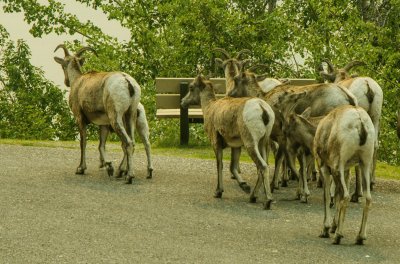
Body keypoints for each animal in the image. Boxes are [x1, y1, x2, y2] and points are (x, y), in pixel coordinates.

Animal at [54, 43, 145, 184]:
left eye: (63, 65)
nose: (66, 82)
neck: (78, 81)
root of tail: (128, 83)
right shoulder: (104, 124)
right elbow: (101, 145)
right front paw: (108, 167)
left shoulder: (79, 118)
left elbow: (83, 143)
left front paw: (80, 169)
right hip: (130, 115)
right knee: (132, 142)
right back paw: (120, 172)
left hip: (116, 118)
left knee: (128, 143)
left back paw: (128, 176)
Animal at [181, 75, 276, 210]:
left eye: (191, 87)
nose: (182, 102)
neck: (209, 108)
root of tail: (263, 109)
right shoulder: (236, 146)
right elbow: (232, 167)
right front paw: (245, 186)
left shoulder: (216, 144)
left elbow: (219, 165)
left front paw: (218, 192)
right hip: (263, 143)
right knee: (262, 166)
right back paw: (253, 196)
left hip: (251, 143)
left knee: (262, 166)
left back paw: (267, 201)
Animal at [316, 104, 376, 244]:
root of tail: (360, 121)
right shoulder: (347, 170)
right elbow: (336, 196)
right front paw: (333, 226)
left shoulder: (325, 168)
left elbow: (327, 197)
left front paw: (326, 230)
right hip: (364, 164)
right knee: (367, 198)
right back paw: (360, 237)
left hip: (338, 167)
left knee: (345, 196)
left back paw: (338, 237)